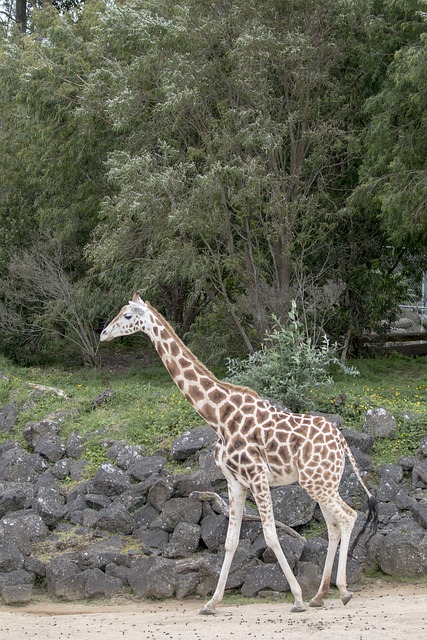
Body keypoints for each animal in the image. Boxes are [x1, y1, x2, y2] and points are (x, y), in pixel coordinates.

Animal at [102, 294, 380, 616]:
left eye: (127, 316)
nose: (104, 333)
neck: (219, 415)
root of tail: (342, 441)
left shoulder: (256, 475)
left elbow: (270, 535)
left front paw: (297, 598)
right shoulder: (235, 481)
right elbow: (230, 542)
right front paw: (211, 602)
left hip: (317, 482)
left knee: (348, 516)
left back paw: (342, 591)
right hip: (322, 483)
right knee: (333, 526)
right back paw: (320, 595)